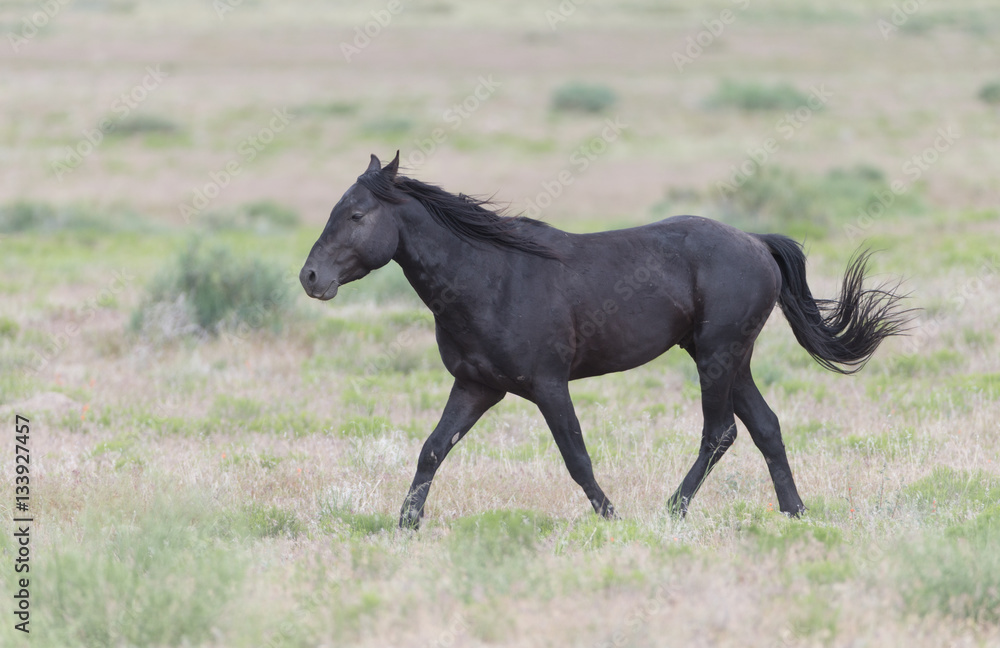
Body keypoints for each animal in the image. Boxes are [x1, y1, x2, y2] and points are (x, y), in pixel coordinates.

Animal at [296, 154, 908, 528]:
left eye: (357, 214)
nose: (310, 278)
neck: (488, 277)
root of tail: (756, 242)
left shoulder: (548, 385)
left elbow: (576, 457)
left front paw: (611, 517)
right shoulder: (475, 387)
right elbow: (432, 449)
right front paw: (405, 525)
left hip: (717, 357)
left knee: (721, 433)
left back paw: (672, 509)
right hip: (728, 359)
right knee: (766, 428)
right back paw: (793, 513)